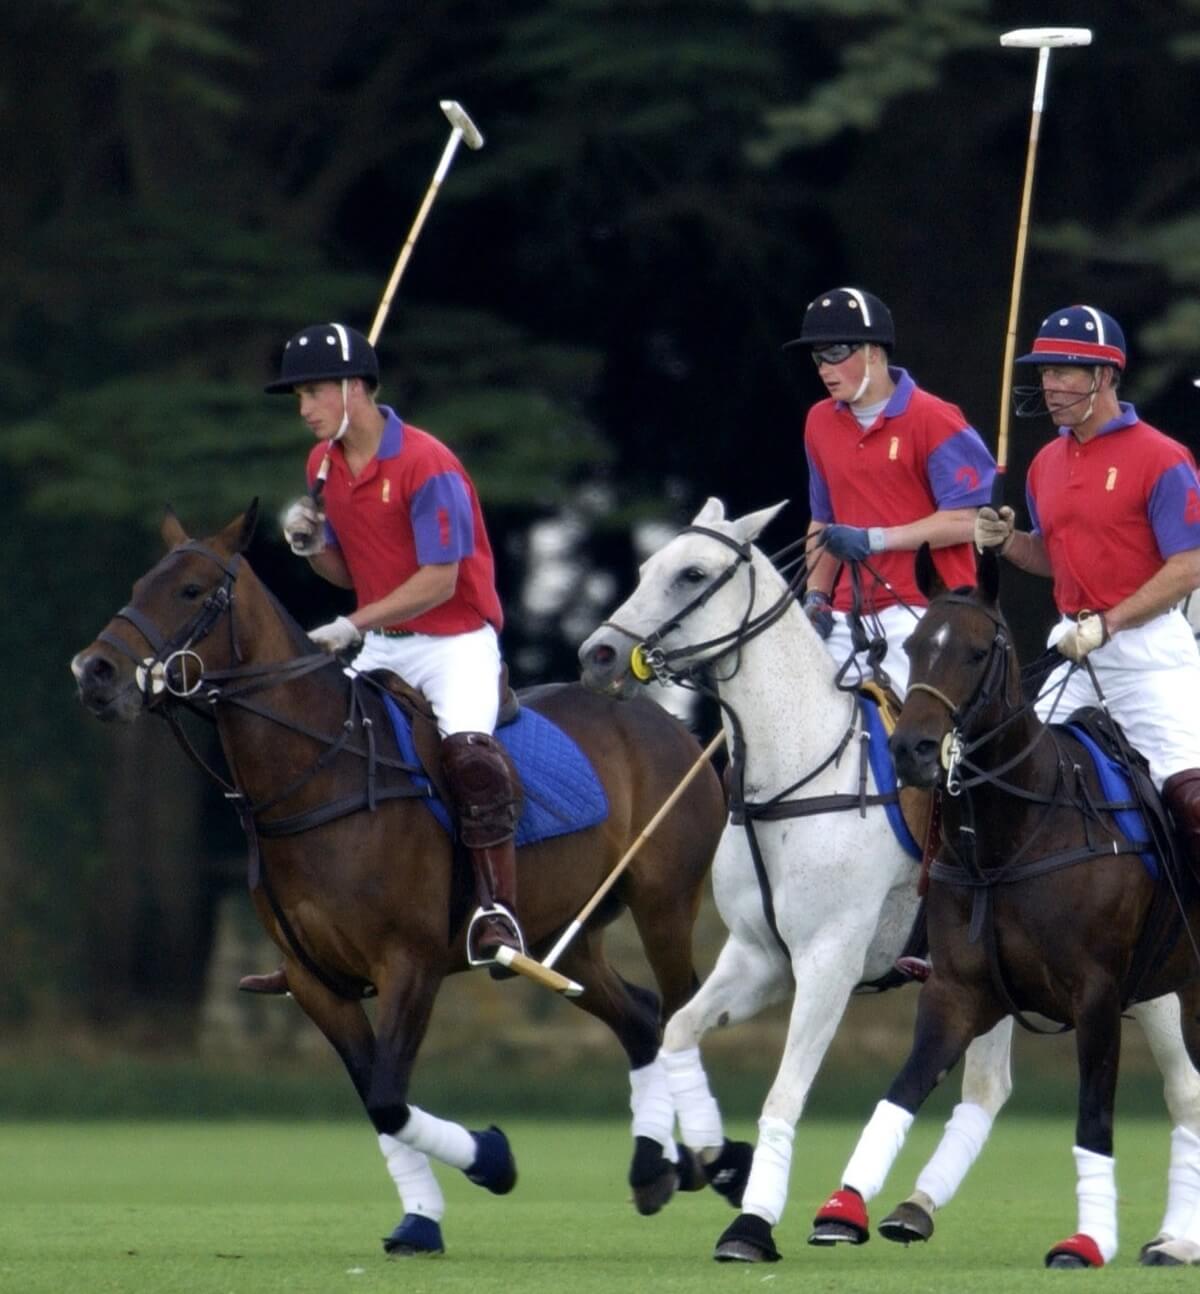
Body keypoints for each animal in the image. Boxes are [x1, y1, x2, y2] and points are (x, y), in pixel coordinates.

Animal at [70, 502, 724, 1252]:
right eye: (140, 583)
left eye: (191, 590)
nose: (92, 672)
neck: (317, 775)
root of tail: (667, 722)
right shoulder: (313, 979)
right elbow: (377, 1099)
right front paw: (420, 1219)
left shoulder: (410, 960)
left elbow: (387, 1096)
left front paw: (493, 1161)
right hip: (563, 934)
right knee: (641, 1017)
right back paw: (655, 1167)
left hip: (665, 901)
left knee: (679, 1009)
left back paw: (713, 1162)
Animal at [807, 543, 1200, 1262]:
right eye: (914, 645)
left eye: (974, 651)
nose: (911, 750)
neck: (1016, 835)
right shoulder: (958, 989)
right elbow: (903, 1089)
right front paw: (842, 1208)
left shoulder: (1097, 994)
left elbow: (1093, 1113)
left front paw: (1087, 1240)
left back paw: (1175, 1241)